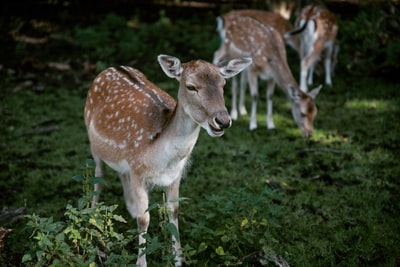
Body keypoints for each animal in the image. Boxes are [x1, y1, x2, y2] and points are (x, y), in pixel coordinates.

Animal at [85, 55, 252, 267]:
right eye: (191, 86)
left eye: (223, 84)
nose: (222, 121)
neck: (161, 160)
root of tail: (110, 68)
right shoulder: (137, 171)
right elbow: (144, 219)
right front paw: (141, 263)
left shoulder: (175, 176)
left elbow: (174, 211)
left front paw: (179, 259)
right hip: (93, 143)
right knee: (98, 179)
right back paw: (92, 217)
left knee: (120, 173)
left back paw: (130, 208)